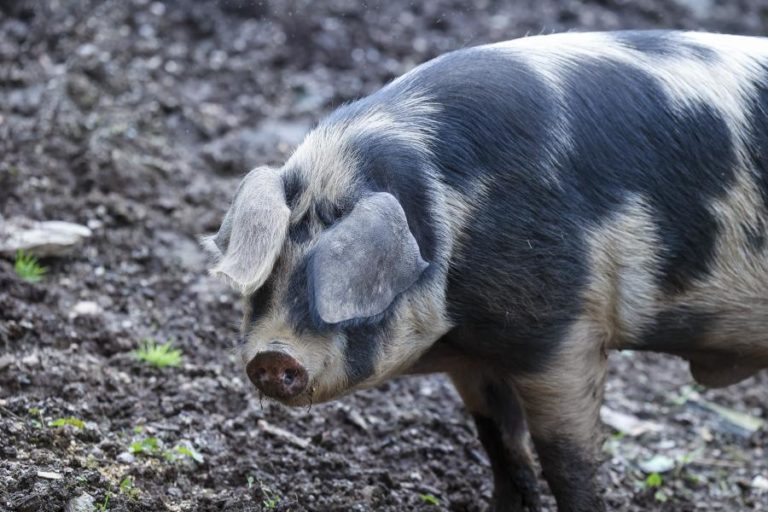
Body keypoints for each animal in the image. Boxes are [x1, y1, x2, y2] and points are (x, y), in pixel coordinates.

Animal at [202, 30, 768, 512]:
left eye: (346, 282)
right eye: (266, 280)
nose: (273, 357)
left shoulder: (562, 333)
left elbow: (568, 459)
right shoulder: (475, 357)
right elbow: (500, 442)